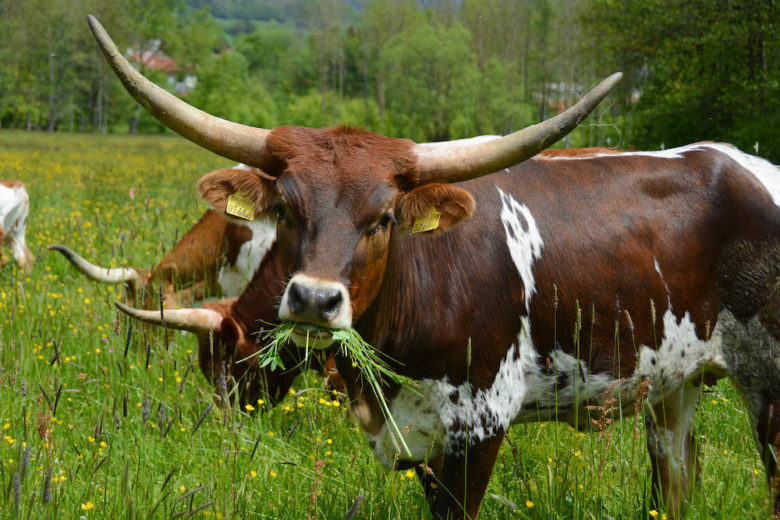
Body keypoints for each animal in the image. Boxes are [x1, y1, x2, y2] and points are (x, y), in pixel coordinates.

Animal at [87, 15, 780, 520]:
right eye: (285, 208)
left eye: (384, 218)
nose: (313, 301)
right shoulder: (414, 435)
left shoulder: (479, 427)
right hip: (675, 385)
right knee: (676, 481)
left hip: (768, 386)